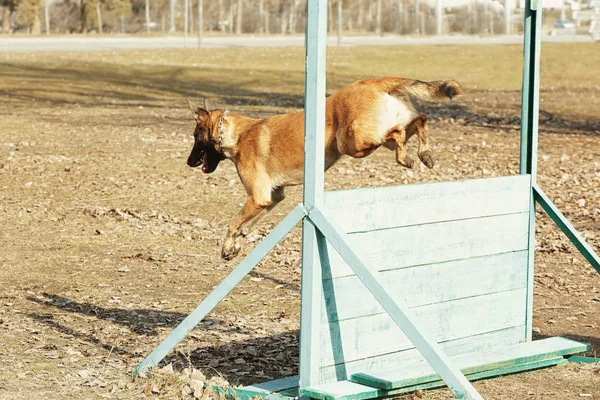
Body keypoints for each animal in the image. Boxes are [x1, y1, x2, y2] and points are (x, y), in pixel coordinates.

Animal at [188, 77, 464, 260]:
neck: (237, 134)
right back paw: (424, 154)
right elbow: (245, 226)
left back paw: (405, 159)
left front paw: (226, 246)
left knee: (398, 132)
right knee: (420, 121)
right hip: (375, 138)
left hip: (354, 141)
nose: (189, 162)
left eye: (195, 135)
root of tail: (373, 82)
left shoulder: (257, 197)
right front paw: (235, 246)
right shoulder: (271, 198)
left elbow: (233, 223)